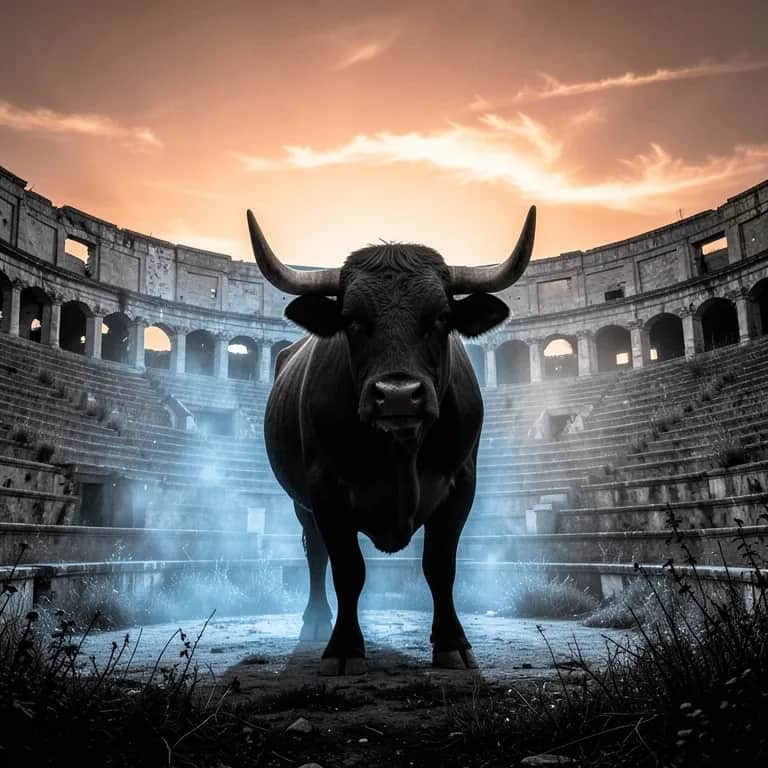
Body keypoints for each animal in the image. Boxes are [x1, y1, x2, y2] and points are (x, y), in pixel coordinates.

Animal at [247, 207, 535, 675]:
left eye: (440, 319)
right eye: (352, 321)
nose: (398, 395)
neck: (400, 451)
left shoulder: (461, 484)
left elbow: (440, 565)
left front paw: (452, 643)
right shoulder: (325, 489)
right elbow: (348, 569)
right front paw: (344, 647)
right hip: (301, 504)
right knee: (316, 556)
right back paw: (316, 622)